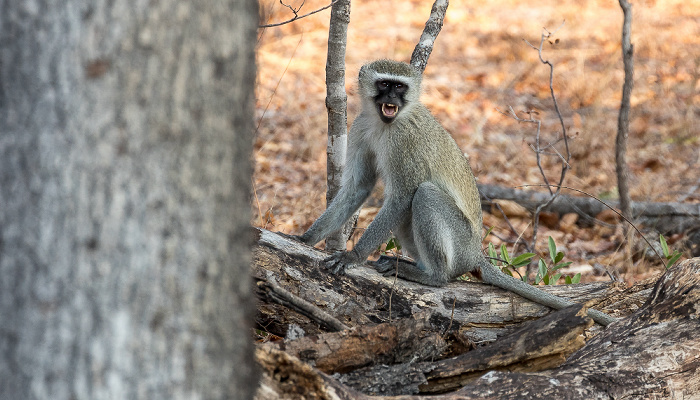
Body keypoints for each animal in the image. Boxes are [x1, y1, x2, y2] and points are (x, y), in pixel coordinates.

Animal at [290, 59, 612, 324]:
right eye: (384, 84)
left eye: (399, 86)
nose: (391, 99)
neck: (387, 123)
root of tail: (475, 254)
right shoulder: (360, 127)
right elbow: (358, 188)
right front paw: (305, 238)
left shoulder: (404, 141)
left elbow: (402, 197)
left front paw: (352, 256)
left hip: (460, 240)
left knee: (424, 195)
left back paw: (433, 276)